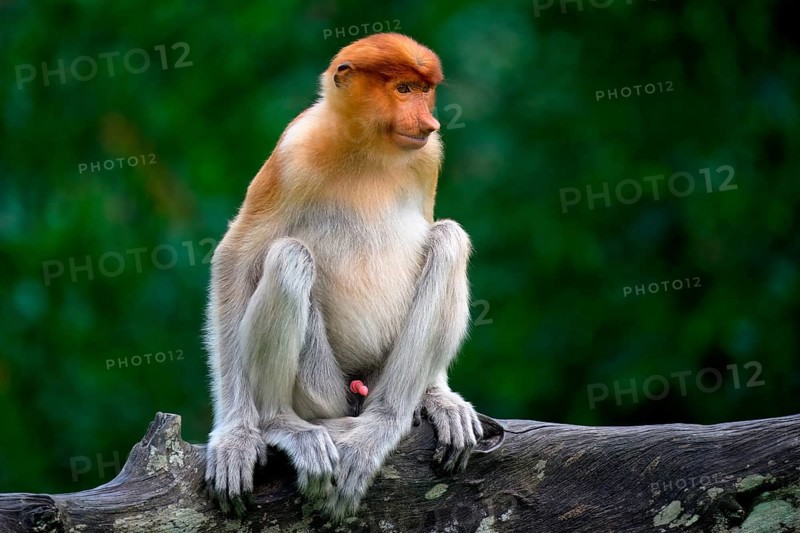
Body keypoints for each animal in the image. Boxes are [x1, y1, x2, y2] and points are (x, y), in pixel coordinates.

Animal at [204, 32, 483, 520]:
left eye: (424, 90)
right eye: (403, 89)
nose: (429, 121)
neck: (368, 146)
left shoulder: (428, 156)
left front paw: (439, 397)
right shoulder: (293, 151)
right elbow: (235, 258)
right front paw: (235, 438)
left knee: (449, 239)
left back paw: (384, 421)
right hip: (322, 390)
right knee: (289, 256)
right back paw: (282, 424)